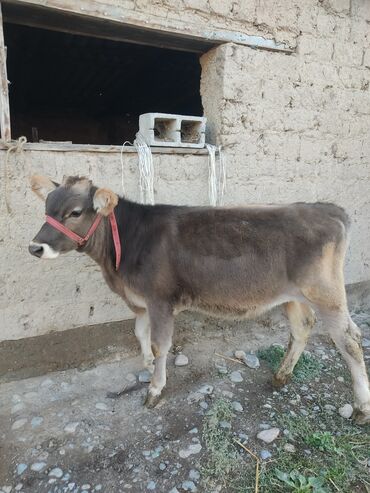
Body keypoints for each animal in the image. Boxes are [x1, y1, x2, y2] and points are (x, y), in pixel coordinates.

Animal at [29, 174, 370, 422]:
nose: (35, 248)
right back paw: (280, 377)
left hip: (325, 292)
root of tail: (326, 208)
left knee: (350, 339)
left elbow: (160, 343)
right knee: (302, 328)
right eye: (46, 210)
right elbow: (140, 333)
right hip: (293, 295)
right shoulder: (140, 301)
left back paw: (361, 408)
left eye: (75, 212)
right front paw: (148, 363)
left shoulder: (160, 299)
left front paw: (155, 389)